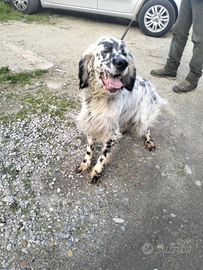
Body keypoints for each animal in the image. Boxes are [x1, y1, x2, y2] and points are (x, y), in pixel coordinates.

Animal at [77, 36, 172, 184]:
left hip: (142, 118)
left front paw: (97, 171)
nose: (123, 63)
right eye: (106, 50)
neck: (100, 98)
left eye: (124, 53)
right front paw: (85, 163)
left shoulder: (110, 135)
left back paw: (149, 141)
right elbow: (89, 150)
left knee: (147, 128)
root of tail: (150, 84)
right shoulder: (91, 124)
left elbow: (102, 157)